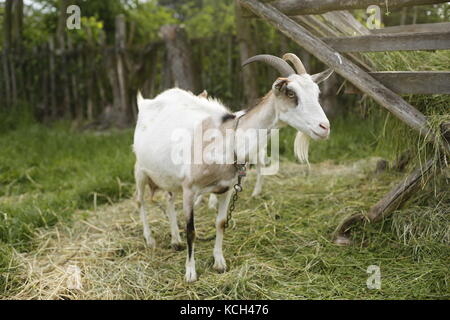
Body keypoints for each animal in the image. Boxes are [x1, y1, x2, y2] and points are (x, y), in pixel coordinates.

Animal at [132, 53, 332, 282]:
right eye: (291, 93)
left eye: (316, 93)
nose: (324, 127)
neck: (227, 140)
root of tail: (146, 103)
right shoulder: (189, 189)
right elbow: (191, 229)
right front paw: (190, 273)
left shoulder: (226, 189)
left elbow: (220, 223)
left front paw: (219, 263)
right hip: (140, 169)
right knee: (140, 201)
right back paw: (150, 239)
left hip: (168, 176)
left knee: (168, 198)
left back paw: (175, 240)